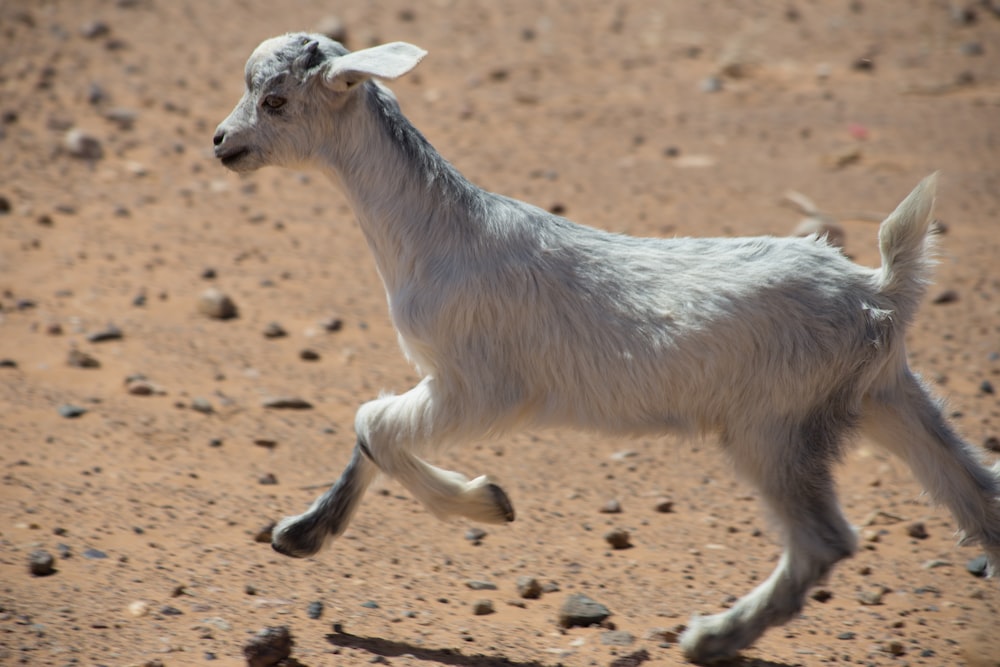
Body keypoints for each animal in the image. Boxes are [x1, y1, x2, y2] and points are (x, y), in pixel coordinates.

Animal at [217, 35, 1000, 664]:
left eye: (276, 100)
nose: (222, 143)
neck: (438, 231)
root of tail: (878, 287)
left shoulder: (480, 388)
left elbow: (372, 423)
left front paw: (485, 503)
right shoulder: (450, 385)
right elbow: (373, 429)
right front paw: (302, 532)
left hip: (774, 426)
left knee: (823, 540)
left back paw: (712, 637)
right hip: (887, 394)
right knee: (978, 494)